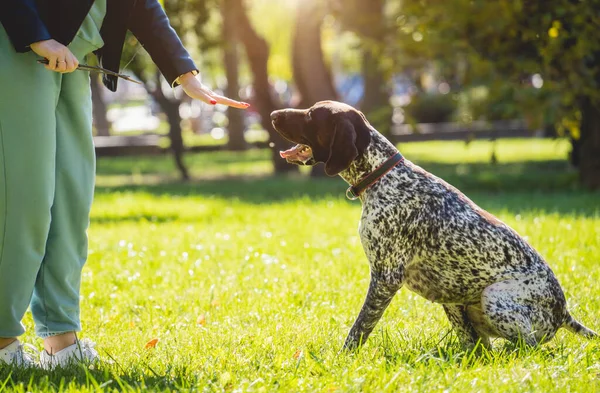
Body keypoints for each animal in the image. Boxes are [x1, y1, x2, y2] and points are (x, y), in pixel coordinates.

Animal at [270, 99, 596, 350]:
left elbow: (359, 329)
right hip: (455, 299)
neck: (383, 176)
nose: (273, 114)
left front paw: (343, 358)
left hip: (493, 297)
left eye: (311, 115)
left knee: (527, 347)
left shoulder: (386, 277)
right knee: (482, 346)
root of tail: (563, 313)